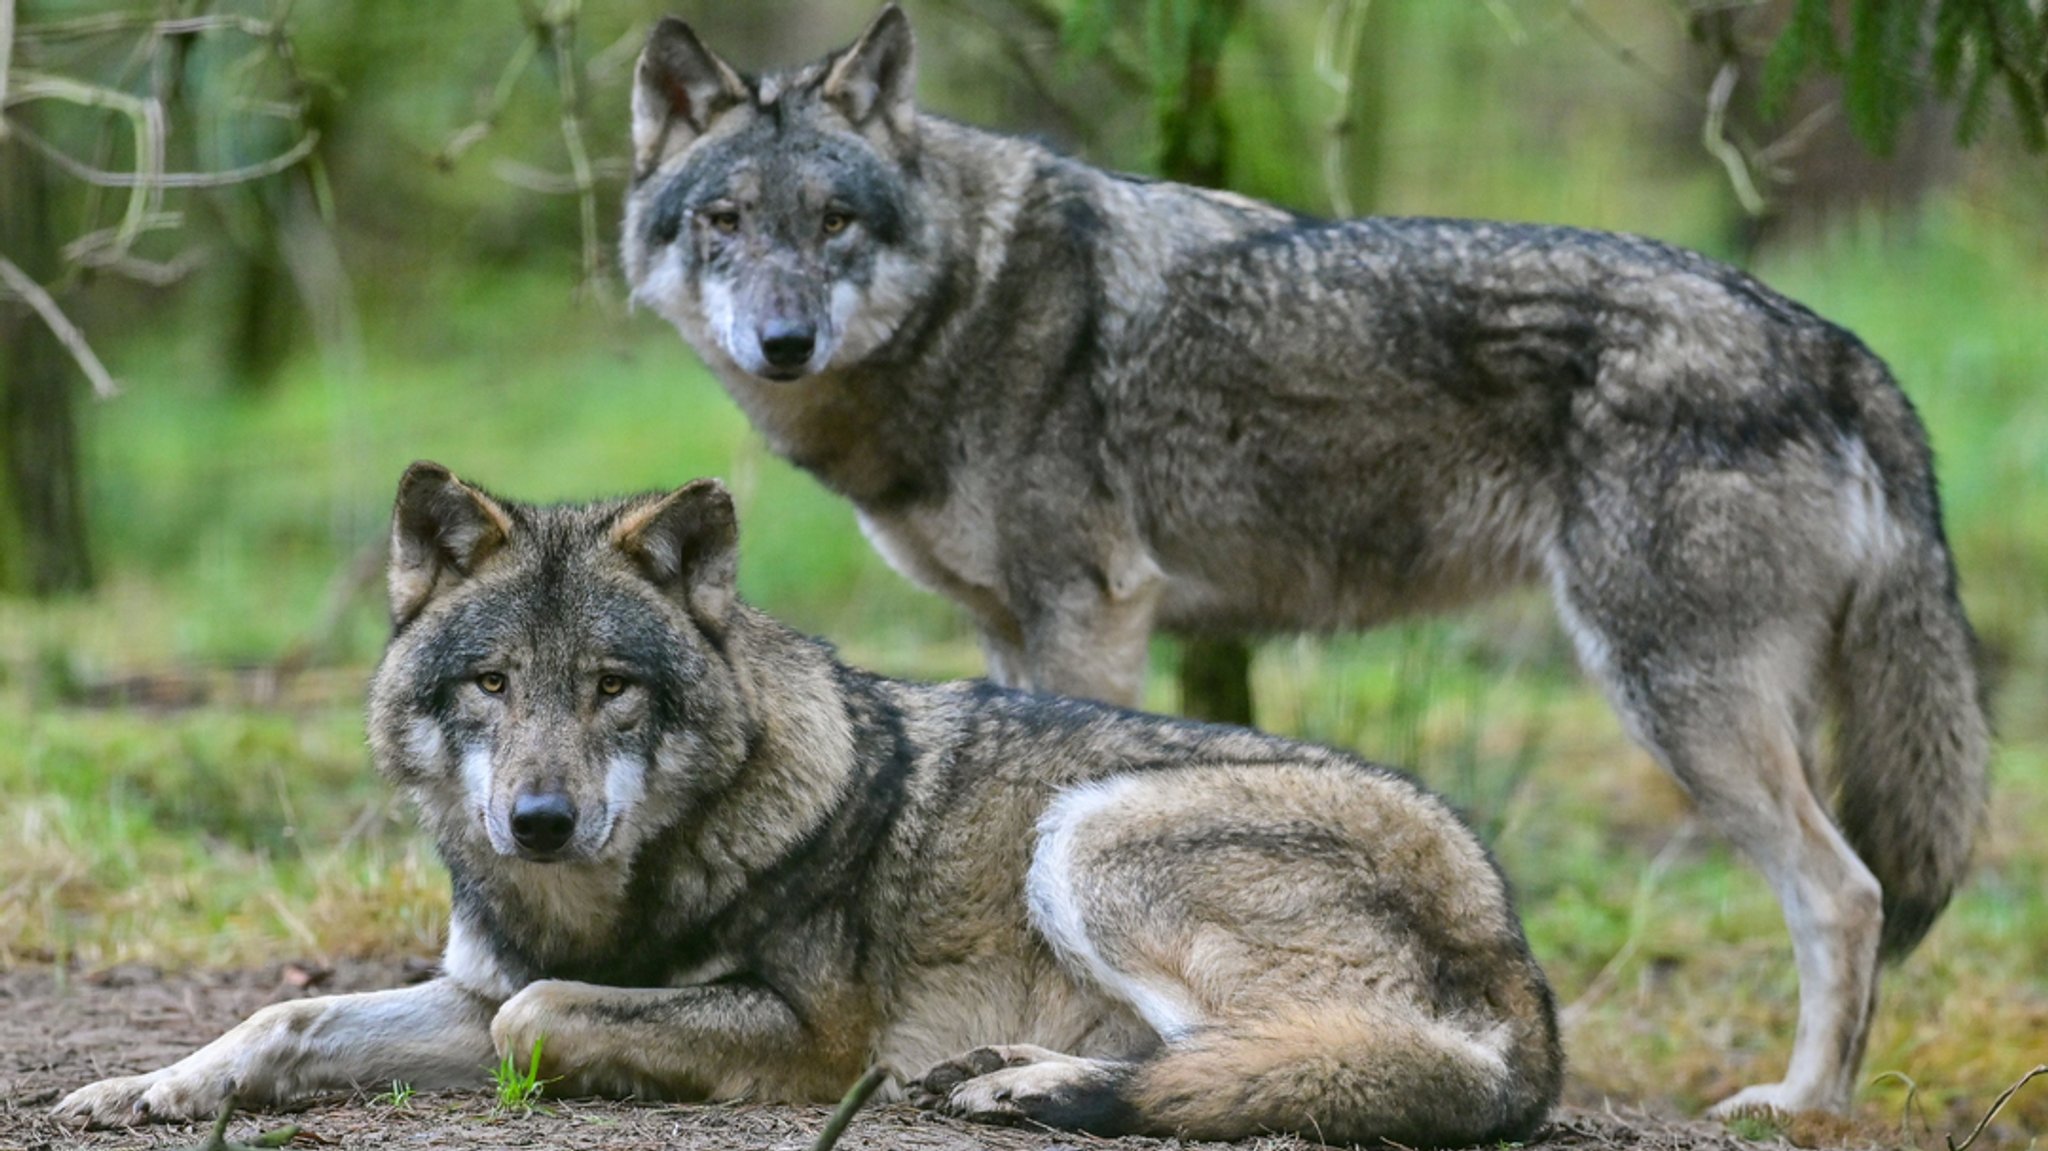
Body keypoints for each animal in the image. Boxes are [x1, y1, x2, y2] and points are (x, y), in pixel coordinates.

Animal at [56, 460, 1556, 1138]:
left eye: (611, 687)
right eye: (490, 682)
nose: (537, 820)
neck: (608, 898)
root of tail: (1520, 958)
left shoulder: (804, 1032)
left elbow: (542, 1018)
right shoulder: (474, 984)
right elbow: (289, 1015)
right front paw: (142, 1083)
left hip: (1091, 832)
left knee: (1294, 1057)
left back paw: (1034, 1081)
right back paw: (1002, 1071)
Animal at [614, 2, 1990, 1114]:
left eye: (834, 221)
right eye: (724, 221)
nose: (782, 340)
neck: (971, 297)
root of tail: (1830, 342)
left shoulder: (1087, 613)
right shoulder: (1012, 628)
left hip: (1673, 702)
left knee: (1846, 894)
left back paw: (1800, 1101)